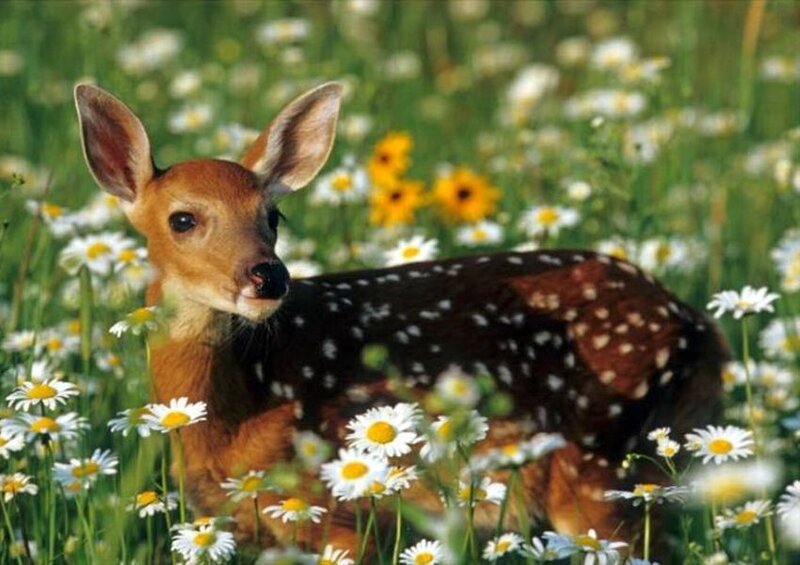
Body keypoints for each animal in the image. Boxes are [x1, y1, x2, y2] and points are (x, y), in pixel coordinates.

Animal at [73, 81, 726, 555]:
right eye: (182, 219)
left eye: (273, 216)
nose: (267, 276)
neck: (237, 413)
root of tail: (700, 326)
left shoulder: (344, 514)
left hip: (600, 462)